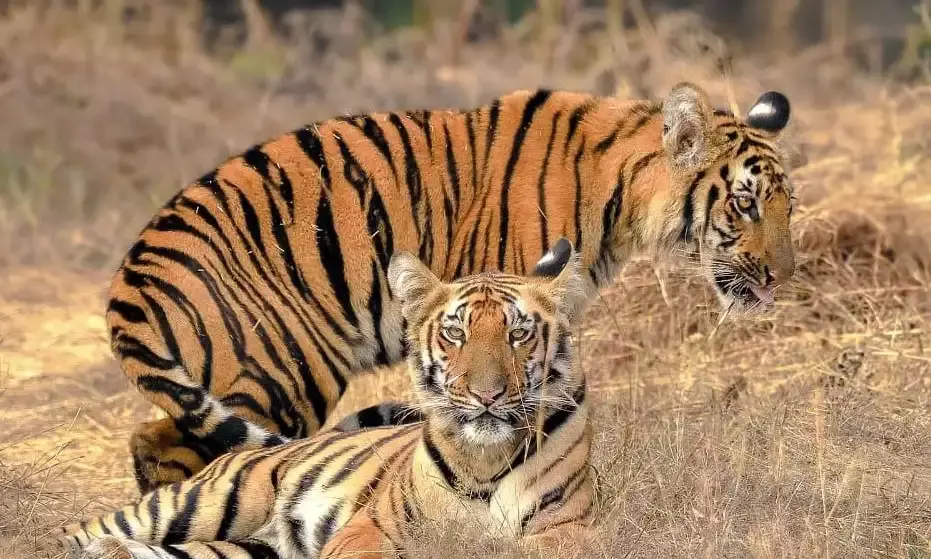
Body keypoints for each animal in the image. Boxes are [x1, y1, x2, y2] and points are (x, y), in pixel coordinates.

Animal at [59, 243, 593, 559]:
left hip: (239, 548)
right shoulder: (373, 526)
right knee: (85, 527)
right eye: (455, 333)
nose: (487, 395)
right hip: (200, 501)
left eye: (518, 333)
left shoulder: (570, 525)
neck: (484, 460)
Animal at [109, 81, 796, 492]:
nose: (782, 276)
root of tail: (132, 271)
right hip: (285, 373)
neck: (621, 195)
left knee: (154, 439)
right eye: (745, 204)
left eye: (787, 205)